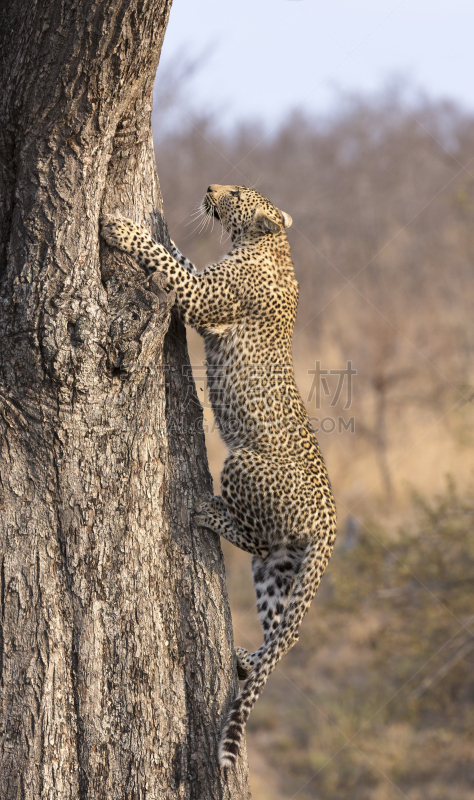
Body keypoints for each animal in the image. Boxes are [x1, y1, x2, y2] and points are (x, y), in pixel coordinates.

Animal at [100, 184, 336, 772]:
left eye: (238, 193)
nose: (210, 188)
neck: (268, 243)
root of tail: (330, 523)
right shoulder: (204, 282)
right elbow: (178, 258)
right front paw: (153, 229)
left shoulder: (206, 299)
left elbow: (166, 266)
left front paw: (121, 228)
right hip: (279, 569)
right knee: (283, 628)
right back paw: (248, 660)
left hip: (242, 462)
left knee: (250, 534)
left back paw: (206, 511)